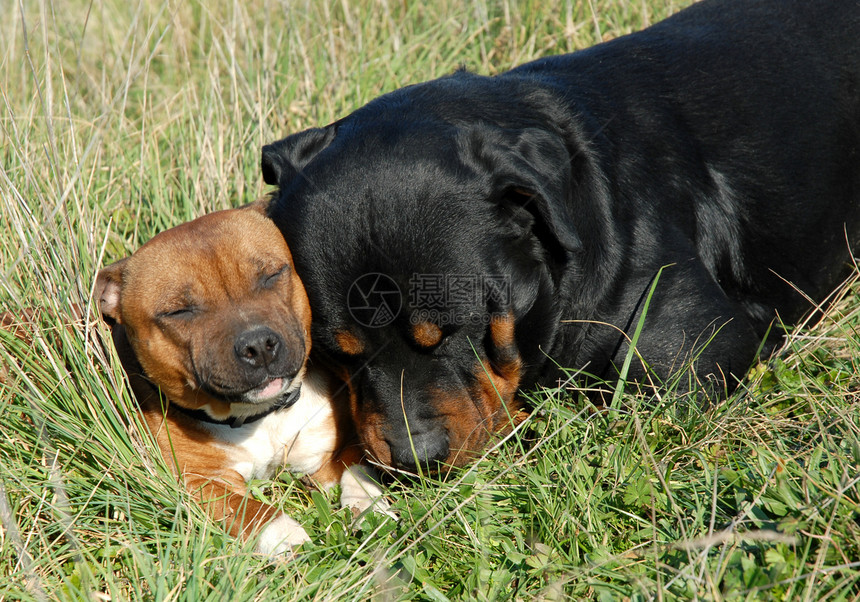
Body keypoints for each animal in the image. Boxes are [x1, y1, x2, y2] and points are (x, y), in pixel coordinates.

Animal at [90, 203, 386, 552]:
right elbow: (246, 510)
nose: (258, 345)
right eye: (178, 312)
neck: (260, 416)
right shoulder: (199, 481)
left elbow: (357, 467)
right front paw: (286, 535)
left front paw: (369, 506)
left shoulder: (335, 444)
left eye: (272, 275)